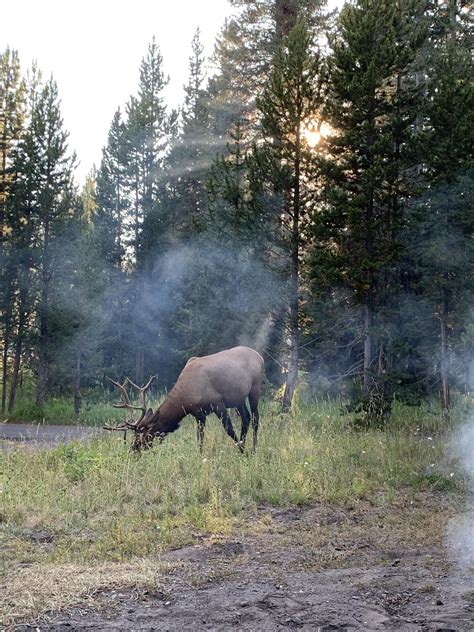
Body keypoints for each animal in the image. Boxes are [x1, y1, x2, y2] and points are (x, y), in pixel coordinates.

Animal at [103, 346, 264, 454]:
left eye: (144, 435)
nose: (132, 450)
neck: (185, 398)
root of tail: (260, 356)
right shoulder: (198, 413)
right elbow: (200, 438)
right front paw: (200, 456)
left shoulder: (218, 403)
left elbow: (229, 430)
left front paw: (242, 451)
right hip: (238, 399)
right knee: (246, 418)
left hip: (255, 388)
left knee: (255, 418)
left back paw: (254, 449)